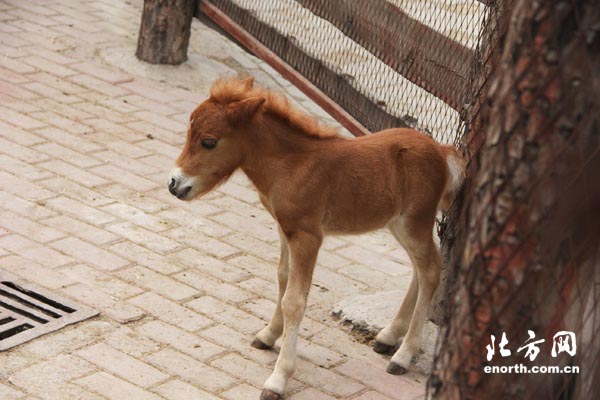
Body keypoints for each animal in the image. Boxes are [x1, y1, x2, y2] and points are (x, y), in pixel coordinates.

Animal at [169, 76, 464, 398]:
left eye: (209, 142)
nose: (174, 184)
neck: (292, 164)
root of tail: (442, 152)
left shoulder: (308, 235)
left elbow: (295, 299)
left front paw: (278, 378)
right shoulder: (285, 228)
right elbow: (283, 278)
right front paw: (268, 335)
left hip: (415, 221)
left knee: (431, 270)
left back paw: (403, 355)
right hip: (399, 224)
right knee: (419, 269)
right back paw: (388, 337)